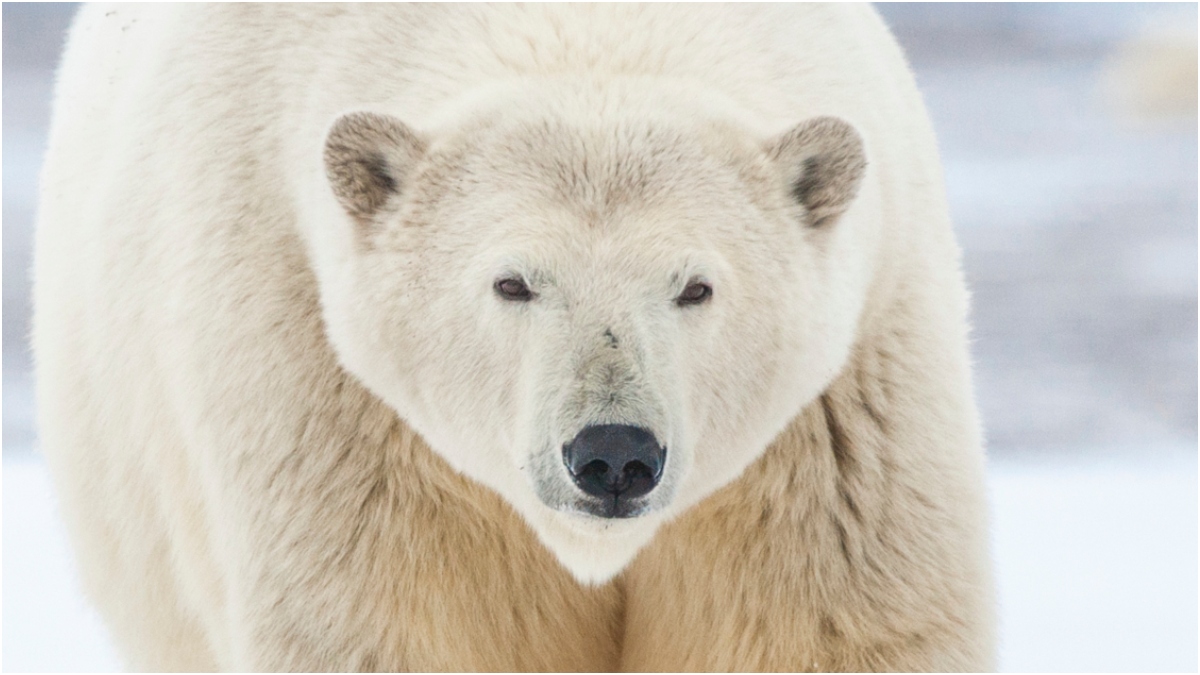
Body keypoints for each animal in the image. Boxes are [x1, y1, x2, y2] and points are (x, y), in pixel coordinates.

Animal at [33, 4, 994, 671]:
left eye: (696, 285)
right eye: (513, 282)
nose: (614, 453)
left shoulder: (836, 424)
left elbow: (828, 628)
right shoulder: (331, 395)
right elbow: (396, 626)